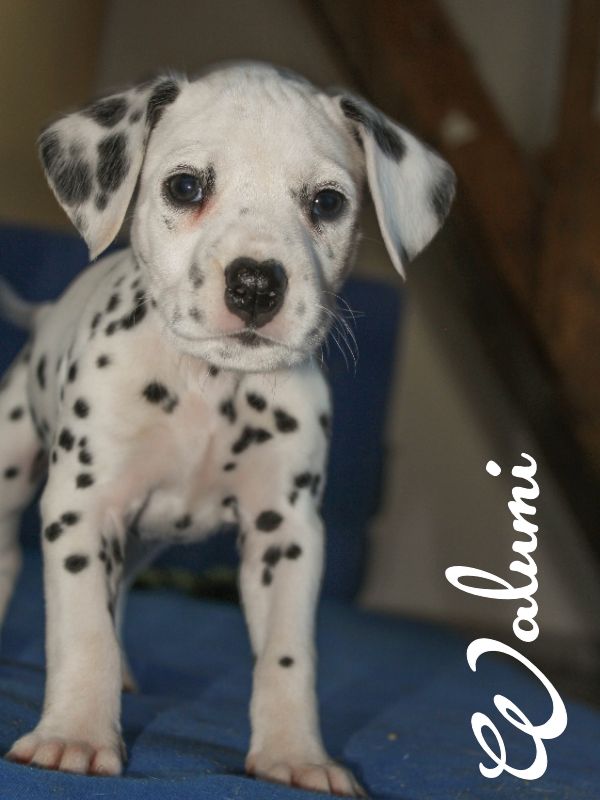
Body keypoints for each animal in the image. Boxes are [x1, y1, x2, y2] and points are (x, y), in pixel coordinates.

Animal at [0, 62, 454, 794]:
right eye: (185, 187)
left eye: (327, 202)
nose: (257, 284)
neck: (210, 389)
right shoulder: (83, 509)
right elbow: (84, 633)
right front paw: (74, 734)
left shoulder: (287, 534)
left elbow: (287, 657)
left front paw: (295, 754)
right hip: (14, 464)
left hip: (144, 540)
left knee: (121, 592)